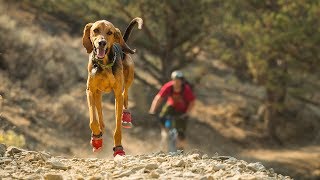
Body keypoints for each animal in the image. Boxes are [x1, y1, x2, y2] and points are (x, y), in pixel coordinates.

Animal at [82, 17, 142, 156]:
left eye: (110, 32)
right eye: (95, 30)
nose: (102, 43)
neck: (104, 65)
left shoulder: (117, 94)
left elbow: (117, 127)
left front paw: (118, 148)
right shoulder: (90, 91)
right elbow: (93, 120)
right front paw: (96, 138)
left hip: (129, 75)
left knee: (125, 94)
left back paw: (126, 116)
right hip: (98, 93)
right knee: (99, 113)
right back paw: (99, 133)